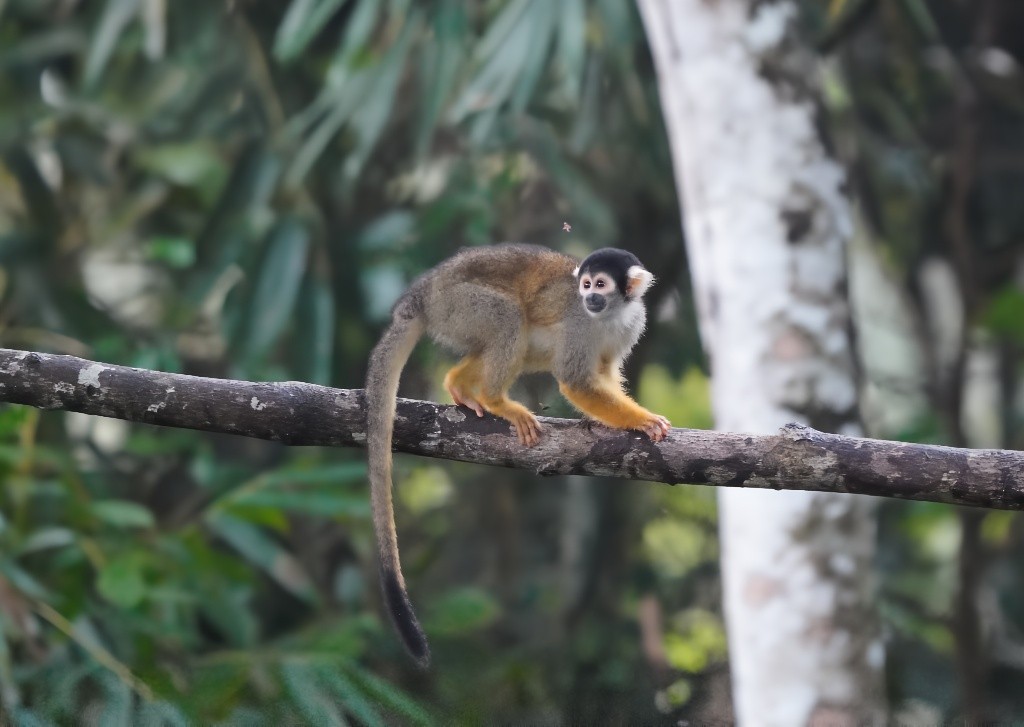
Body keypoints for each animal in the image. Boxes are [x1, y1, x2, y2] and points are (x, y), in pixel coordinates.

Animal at [365, 244, 670, 666]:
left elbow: (606, 372)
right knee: (510, 318)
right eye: (586, 286)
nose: (589, 298)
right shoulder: (579, 324)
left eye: (601, 286)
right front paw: (641, 420)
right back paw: (494, 398)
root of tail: (421, 294)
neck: (609, 315)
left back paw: (459, 384)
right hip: (457, 307)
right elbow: (575, 380)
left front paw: (614, 420)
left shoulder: (632, 323)